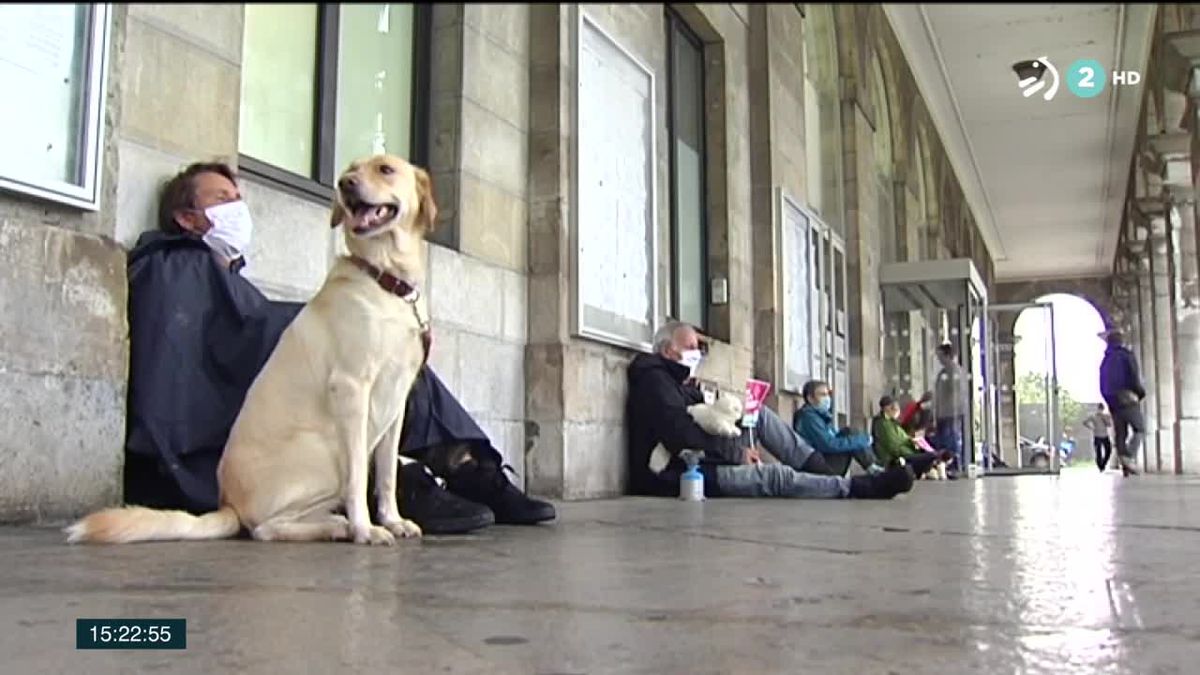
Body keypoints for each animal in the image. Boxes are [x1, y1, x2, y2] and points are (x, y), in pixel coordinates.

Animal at [68, 154, 439, 542]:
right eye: (351, 170)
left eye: (385, 169)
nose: (345, 183)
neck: (386, 280)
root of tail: (228, 504)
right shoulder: (351, 387)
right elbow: (357, 480)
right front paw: (366, 529)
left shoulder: (397, 399)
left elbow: (387, 474)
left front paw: (393, 520)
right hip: (325, 450)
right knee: (265, 528)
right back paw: (338, 526)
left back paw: (335, 524)